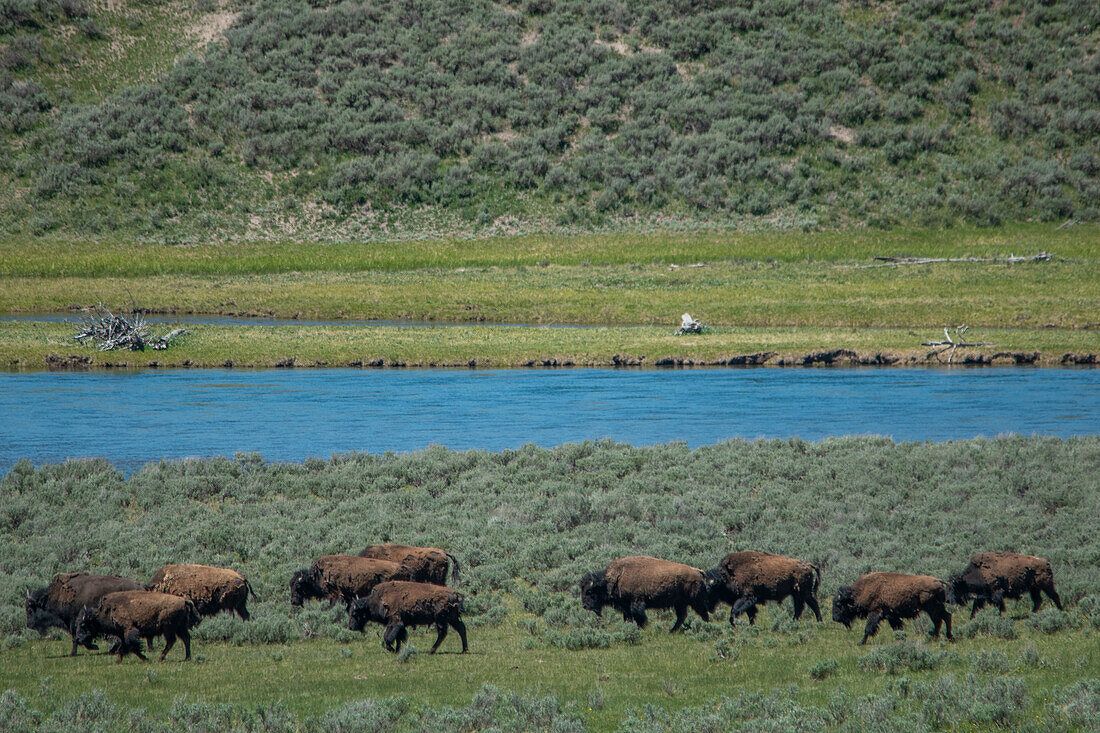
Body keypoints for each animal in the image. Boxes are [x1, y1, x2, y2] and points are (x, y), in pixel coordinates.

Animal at [74, 589, 203, 660]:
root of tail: (184, 600)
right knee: (185, 639)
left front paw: (144, 658)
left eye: (83, 625)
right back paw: (186, 658)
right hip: (180, 628)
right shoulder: (122, 634)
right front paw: (118, 660)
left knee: (172, 641)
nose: (78, 638)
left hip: (169, 628)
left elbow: (132, 646)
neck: (107, 610)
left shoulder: (129, 630)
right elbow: (123, 647)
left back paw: (160, 658)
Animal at [580, 550, 708, 629]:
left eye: (589, 591)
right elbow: (629, 618)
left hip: (693, 601)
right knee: (682, 616)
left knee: (701, 613)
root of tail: (697, 571)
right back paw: (671, 631)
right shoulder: (626, 607)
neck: (616, 577)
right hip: (679, 603)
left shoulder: (636, 603)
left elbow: (640, 618)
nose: (585, 606)